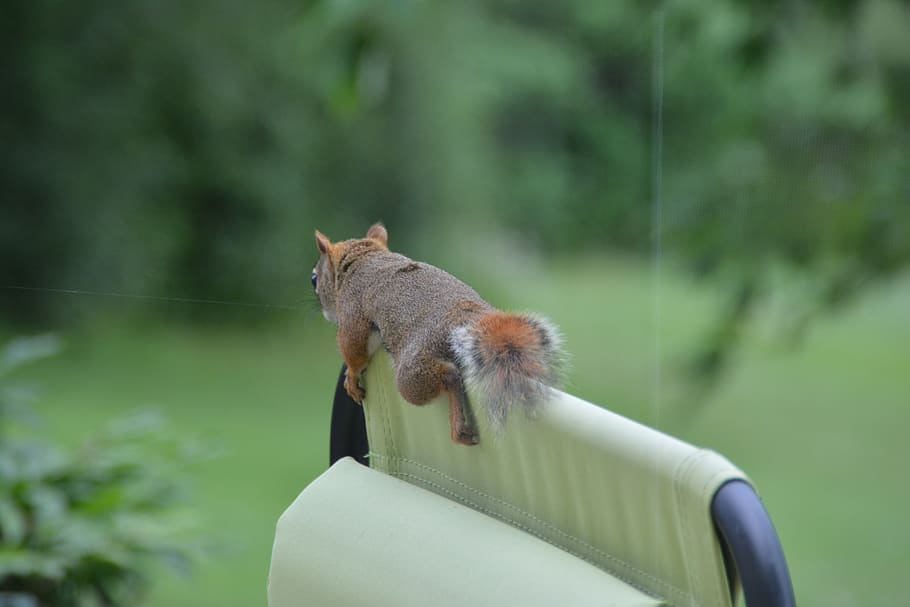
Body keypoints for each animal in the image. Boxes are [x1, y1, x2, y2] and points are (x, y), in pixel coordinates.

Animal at [312, 223, 565, 445]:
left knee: (448, 377)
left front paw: (351, 377)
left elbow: (353, 349)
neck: (364, 258)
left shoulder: (352, 312)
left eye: (314, 278)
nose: (322, 310)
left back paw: (458, 428)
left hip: (413, 371)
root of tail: (466, 320)